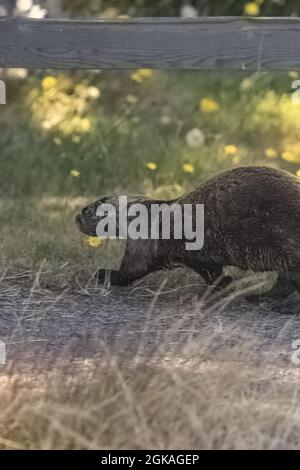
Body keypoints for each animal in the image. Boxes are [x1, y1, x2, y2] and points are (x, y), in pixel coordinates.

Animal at [75, 167, 300, 300]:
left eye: (87, 211)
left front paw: (103, 273)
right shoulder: (198, 256)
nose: (76, 217)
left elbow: (132, 269)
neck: (149, 214)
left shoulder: (145, 243)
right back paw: (260, 296)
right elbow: (213, 272)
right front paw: (224, 285)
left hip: (284, 245)